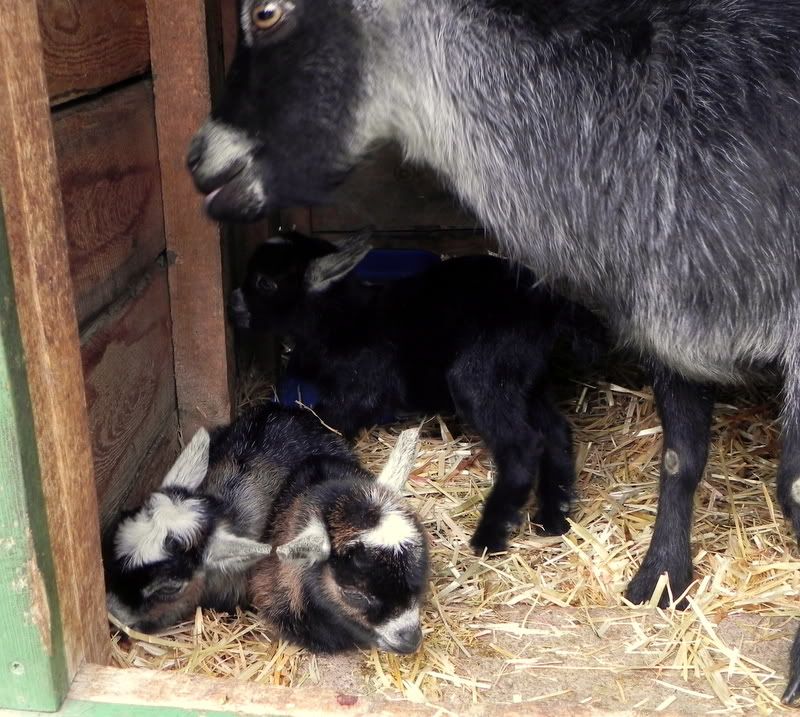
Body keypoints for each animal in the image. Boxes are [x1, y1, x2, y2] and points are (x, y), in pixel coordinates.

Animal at [231, 230, 606, 553]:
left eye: (266, 282)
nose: (234, 306)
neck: (346, 321)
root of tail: (549, 306)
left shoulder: (359, 391)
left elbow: (326, 419)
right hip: (527, 380)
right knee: (555, 431)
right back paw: (554, 515)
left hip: (483, 375)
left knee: (522, 445)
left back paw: (492, 534)